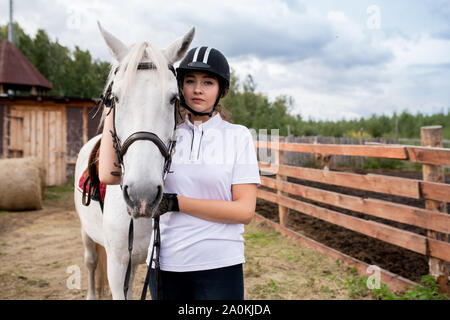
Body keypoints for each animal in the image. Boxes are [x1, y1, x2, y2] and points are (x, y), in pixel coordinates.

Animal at [73, 23, 194, 300]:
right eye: (115, 98)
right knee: (90, 261)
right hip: (87, 233)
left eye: (174, 98)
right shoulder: (117, 268)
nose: (142, 194)